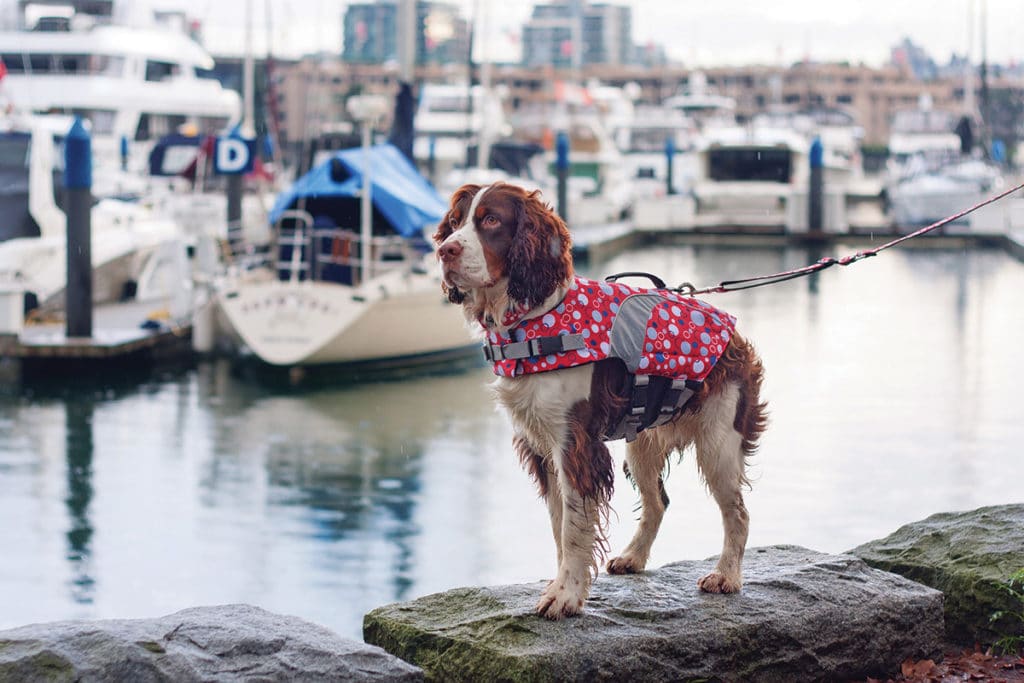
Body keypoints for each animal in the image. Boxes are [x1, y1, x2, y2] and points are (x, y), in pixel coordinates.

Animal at [434, 183, 770, 618]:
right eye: (454, 222)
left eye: (491, 219)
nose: (445, 251)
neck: (533, 320)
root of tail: (735, 335)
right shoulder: (543, 447)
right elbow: (559, 526)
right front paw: (562, 585)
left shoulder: (575, 443)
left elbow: (575, 527)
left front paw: (566, 595)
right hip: (642, 442)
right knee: (658, 503)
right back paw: (634, 557)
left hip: (719, 442)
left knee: (737, 511)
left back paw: (726, 575)